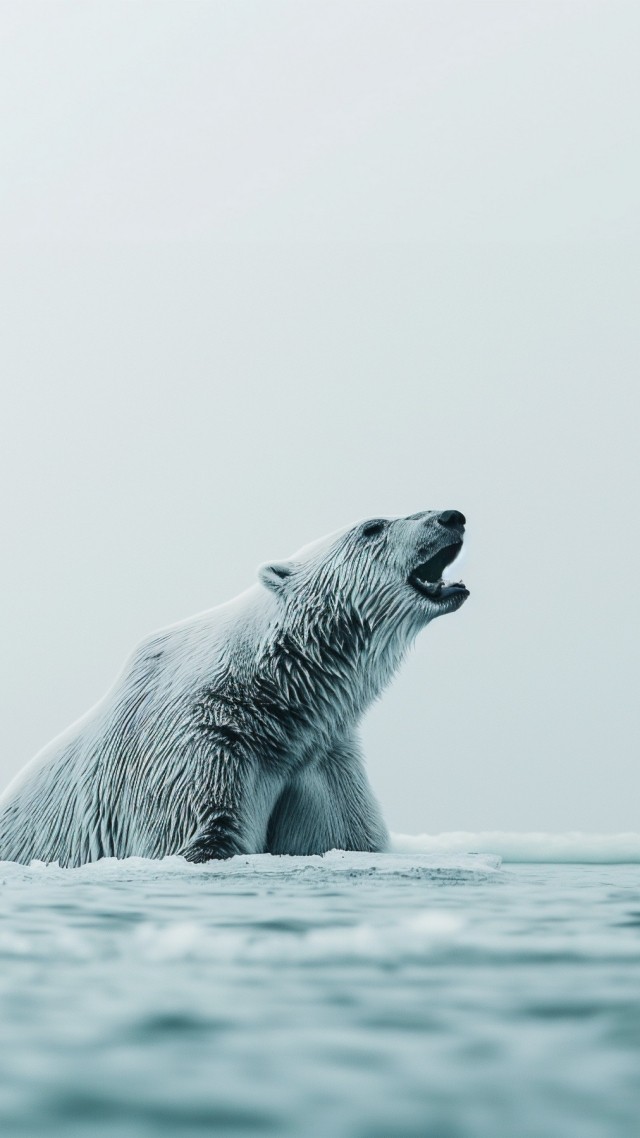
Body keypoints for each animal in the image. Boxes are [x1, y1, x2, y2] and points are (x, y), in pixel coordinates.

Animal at [0, 509, 468, 867]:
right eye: (373, 526)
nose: (452, 516)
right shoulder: (197, 748)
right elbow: (203, 835)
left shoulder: (321, 758)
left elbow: (348, 835)